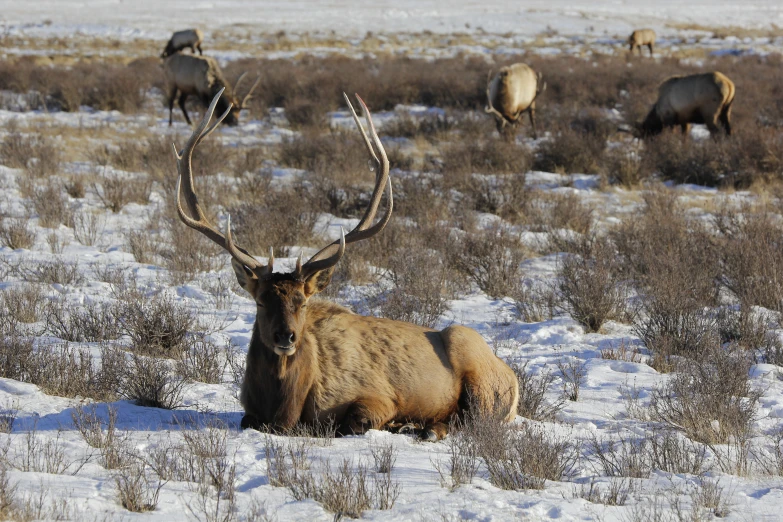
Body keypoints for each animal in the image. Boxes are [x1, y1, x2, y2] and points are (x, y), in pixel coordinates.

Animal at [175, 89, 524, 438]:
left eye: (303, 302)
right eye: (260, 301)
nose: (285, 337)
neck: (285, 407)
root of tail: (512, 376)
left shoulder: (378, 396)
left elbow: (354, 422)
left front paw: (398, 421)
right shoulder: (250, 411)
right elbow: (248, 419)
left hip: (476, 367)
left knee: (468, 420)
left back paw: (421, 426)